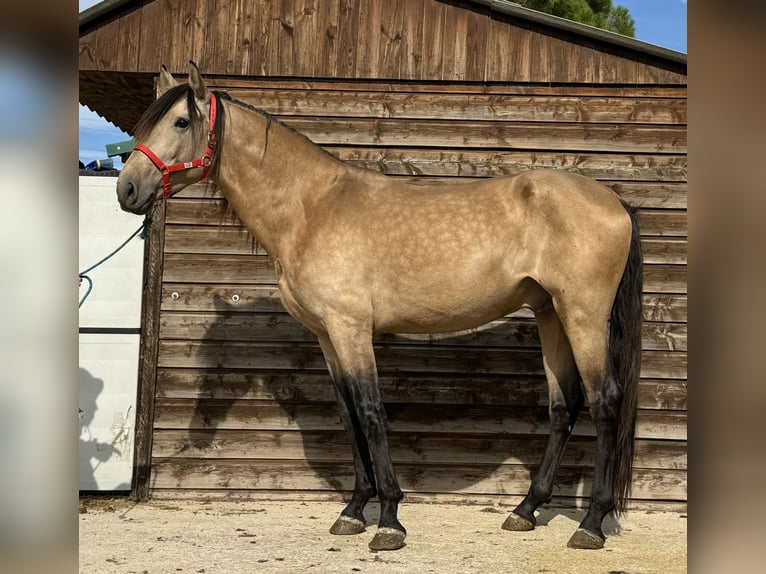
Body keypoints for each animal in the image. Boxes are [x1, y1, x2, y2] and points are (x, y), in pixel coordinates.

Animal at [117, 63, 644, 552]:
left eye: (181, 122)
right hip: (550, 314)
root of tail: (614, 201)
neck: (311, 209)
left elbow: (371, 412)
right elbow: (349, 416)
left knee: (604, 402)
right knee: (563, 406)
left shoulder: (351, 328)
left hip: (583, 316)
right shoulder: (327, 335)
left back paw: (591, 524)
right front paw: (353, 511)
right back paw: (526, 510)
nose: (127, 190)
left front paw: (389, 519)